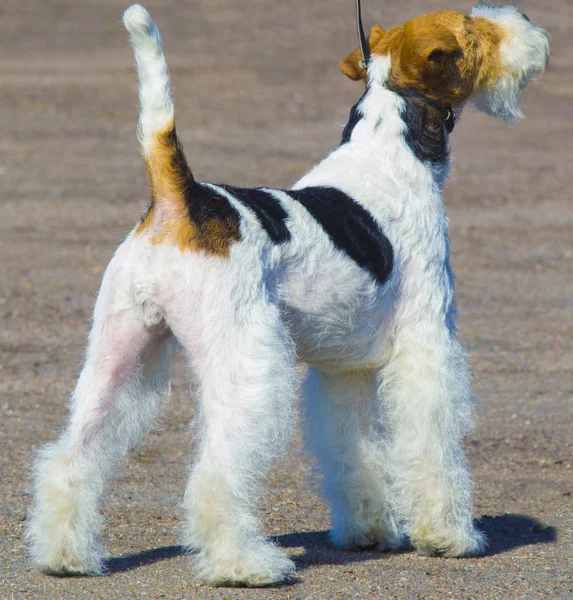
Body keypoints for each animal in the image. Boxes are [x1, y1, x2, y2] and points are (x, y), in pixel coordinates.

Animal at [27, 2, 548, 588]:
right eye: (472, 29)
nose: (527, 21)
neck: (391, 149)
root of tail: (180, 199)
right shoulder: (426, 343)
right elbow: (431, 442)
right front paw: (448, 536)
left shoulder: (345, 367)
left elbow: (355, 449)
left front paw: (369, 529)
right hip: (246, 358)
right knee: (215, 474)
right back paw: (245, 564)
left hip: (119, 353)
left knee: (71, 455)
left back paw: (65, 554)